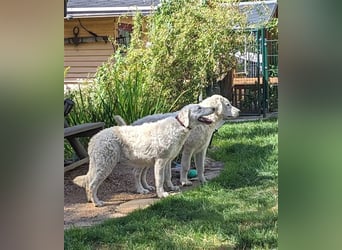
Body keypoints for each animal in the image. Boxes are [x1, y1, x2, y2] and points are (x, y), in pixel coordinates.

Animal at [73, 103, 215, 207]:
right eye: (199, 108)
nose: (213, 108)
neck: (179, 125)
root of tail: (94, 139)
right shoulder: (160, 160)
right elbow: (160, 179)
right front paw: (162, 194)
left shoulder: (168, 160)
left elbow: (168, 176)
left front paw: (172, 187)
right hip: (105, 165)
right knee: (92, 184)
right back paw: (97, 202)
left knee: (89, 182)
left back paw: (91, 200)